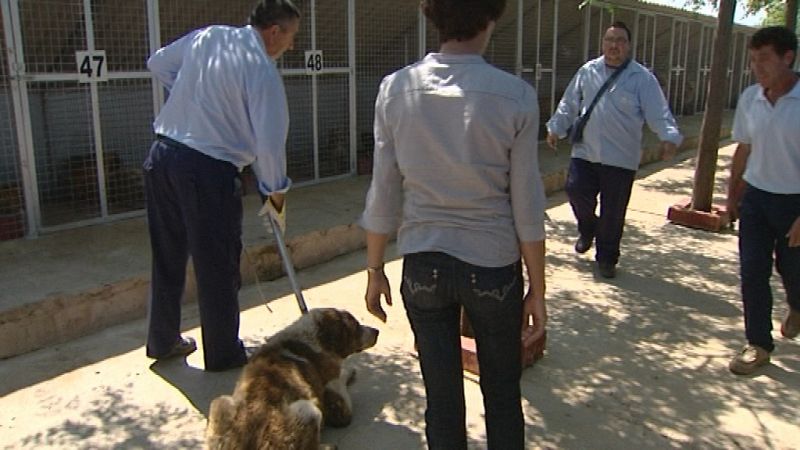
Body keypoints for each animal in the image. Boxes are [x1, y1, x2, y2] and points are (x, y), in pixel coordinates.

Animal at [206, 308, 382, 450]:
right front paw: (348, 371)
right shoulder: (339, 403)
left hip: (220, 402)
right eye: (356, 326)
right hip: (309, 410)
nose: (376, 331)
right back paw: (327, 446)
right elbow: (341, 380)